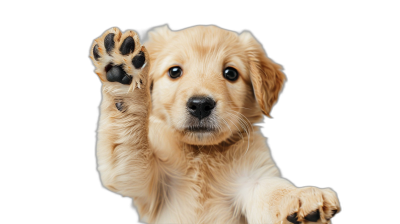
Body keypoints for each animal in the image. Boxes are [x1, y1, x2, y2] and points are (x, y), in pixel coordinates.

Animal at [89, 25, 340, 224]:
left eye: (230, 73)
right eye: (174, 71)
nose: (200, 105)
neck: (202, 154)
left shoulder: (254, 178)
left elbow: (272, 190)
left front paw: (299, 197)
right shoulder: (145, 181)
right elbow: (129, 141)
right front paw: (122, 70)